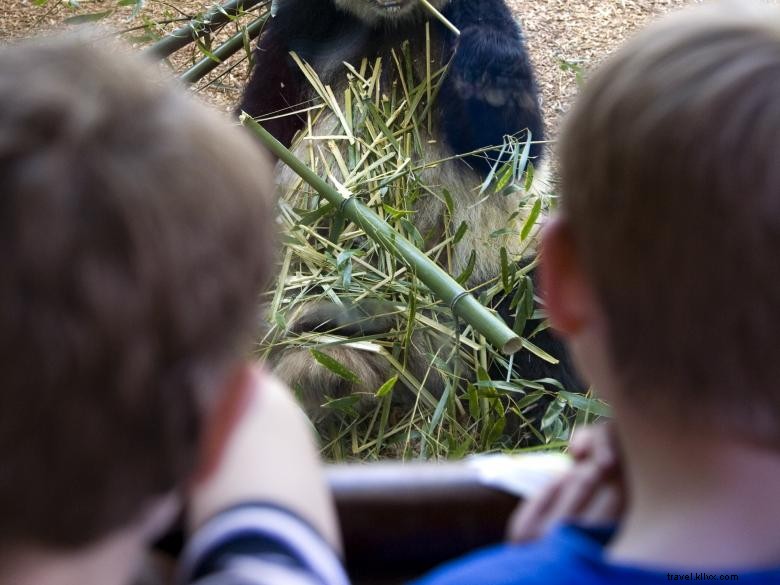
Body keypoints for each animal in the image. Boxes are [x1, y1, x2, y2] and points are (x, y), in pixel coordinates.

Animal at [241, 0, 580, 424]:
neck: (391, 24)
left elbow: (508, 149)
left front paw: (482, 57)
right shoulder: (300, 31)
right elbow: (264, 121)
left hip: (496, 279)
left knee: (538, 330)